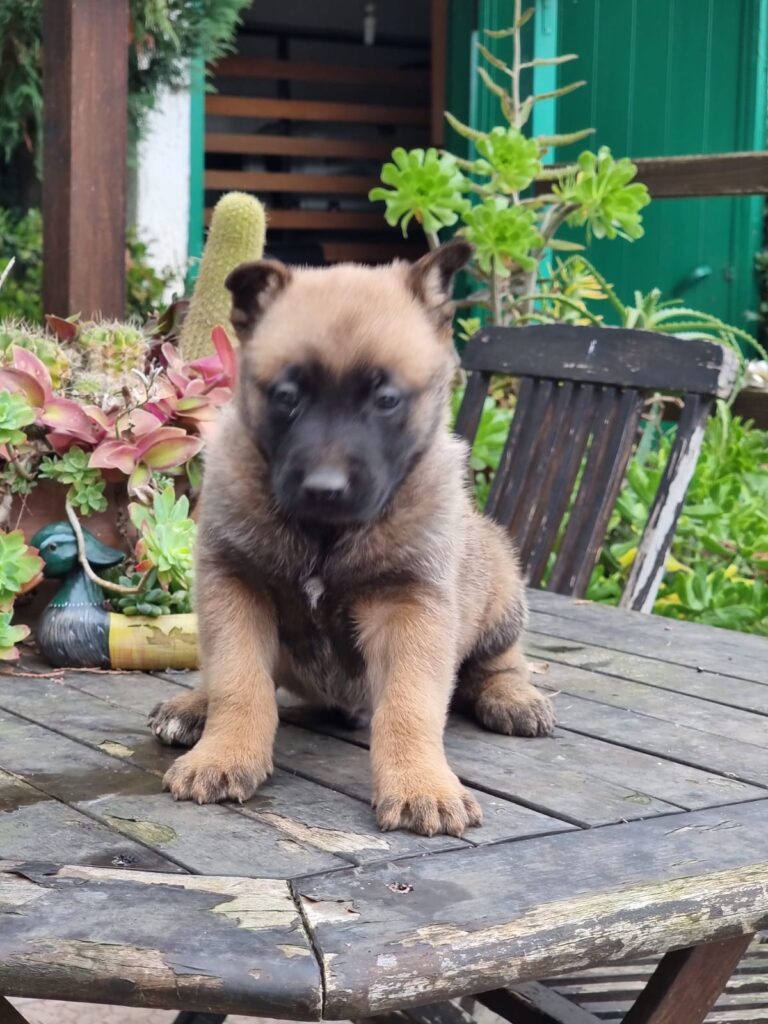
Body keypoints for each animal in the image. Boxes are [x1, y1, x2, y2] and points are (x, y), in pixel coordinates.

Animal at [150, 243, 557, 835]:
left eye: (386, 398)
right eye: (287, 396)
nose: (325, 488)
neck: (325, 537)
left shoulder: (411, 606)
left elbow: (410, 706)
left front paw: (421, 785)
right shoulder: (234, 587)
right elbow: (238, 681)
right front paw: (223, 754)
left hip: (499, 594)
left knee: (499, 663)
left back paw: (514, 697)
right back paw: (193, 707)